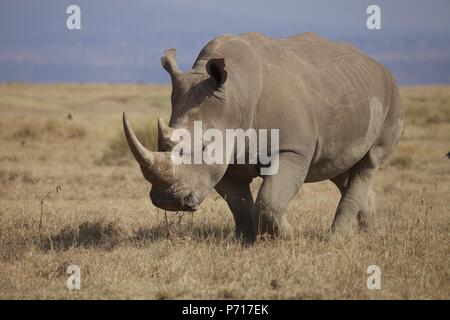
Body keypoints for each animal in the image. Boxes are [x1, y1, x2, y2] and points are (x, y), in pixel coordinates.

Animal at [122, 32, 404, 242]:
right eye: (161, 143)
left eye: (203, 147)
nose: (167, 200)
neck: (235, 95)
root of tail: (380, 67)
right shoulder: (226, 157)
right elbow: (237, 203)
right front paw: (245, 240)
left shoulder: (292, 149)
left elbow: (270, 199)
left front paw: (288, 236)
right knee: (340, 169)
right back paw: (371, 235)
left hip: (391, 97)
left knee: (369, 162)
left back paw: (335, 239)